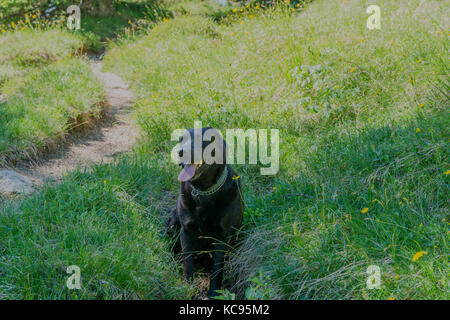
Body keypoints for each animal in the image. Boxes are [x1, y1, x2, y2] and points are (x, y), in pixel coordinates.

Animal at [166, 127, 243, 298]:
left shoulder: (221, 236)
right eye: (181, 139)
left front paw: (214, 292)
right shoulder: (187, 230)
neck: (203, 192)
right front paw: (187, 286)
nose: (181, 152)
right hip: (173, 222)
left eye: (203, 140)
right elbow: (188, 262)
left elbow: (217, 267)